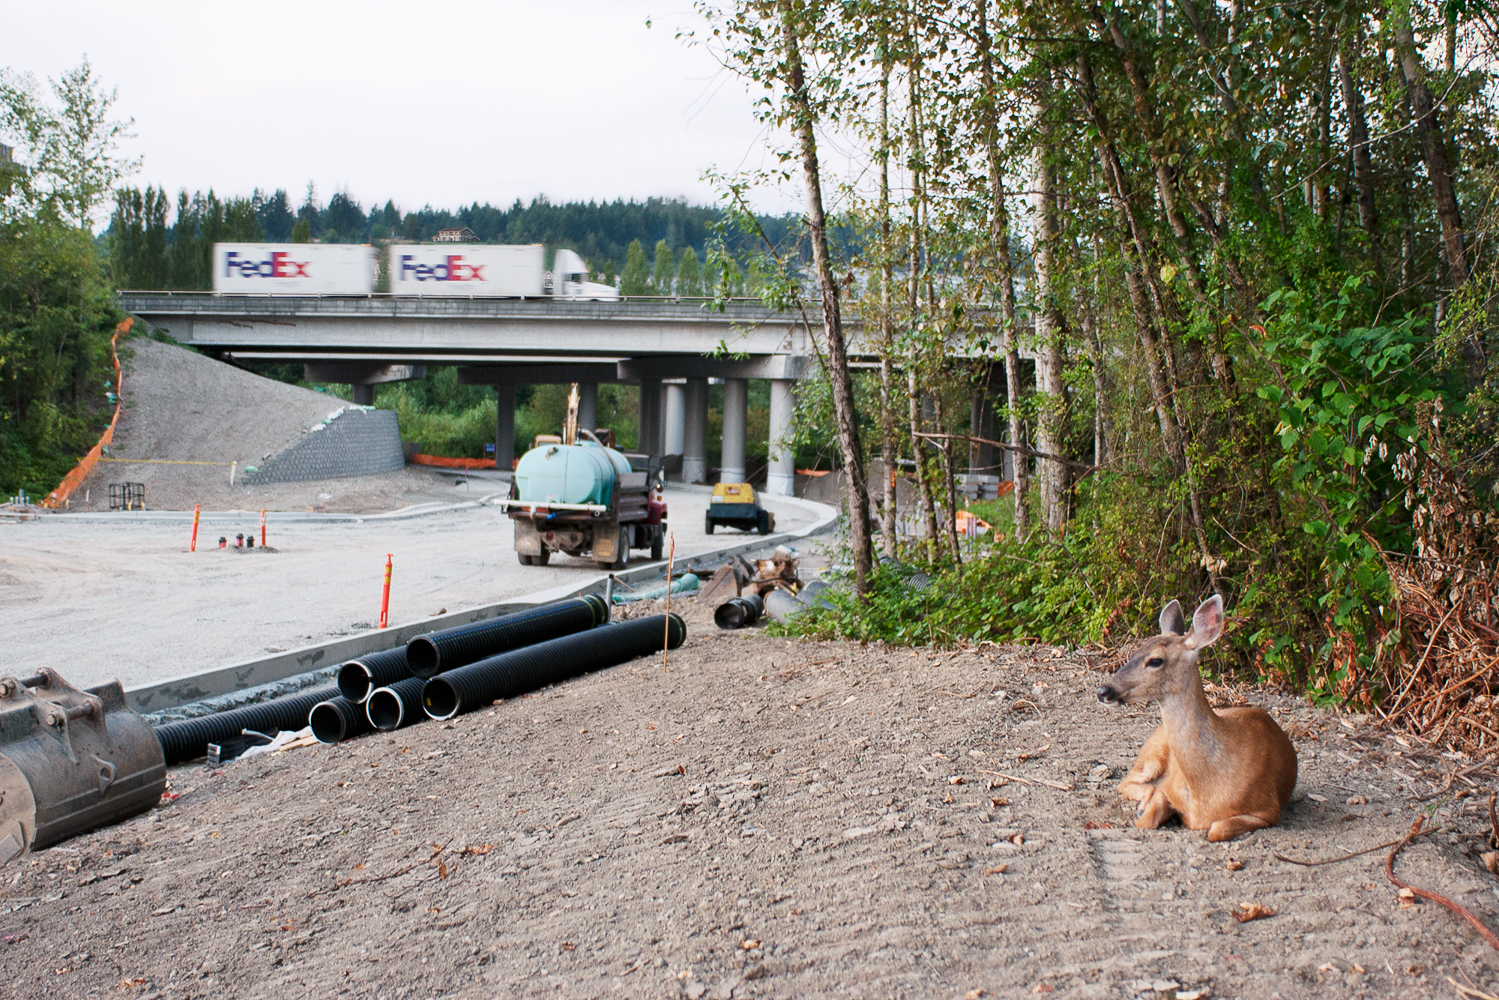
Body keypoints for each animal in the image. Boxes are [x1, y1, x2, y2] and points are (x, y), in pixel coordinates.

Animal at [1097, 593, 1295, 845]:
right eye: (1134, 653)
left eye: (1155, 661)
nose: (1103, 691)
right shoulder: (1170, 788)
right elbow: (1147, 817)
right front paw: (1148, 809)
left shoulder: (1267, 809)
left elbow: (1216, 830)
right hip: (1153, 751)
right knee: (1126, 781)